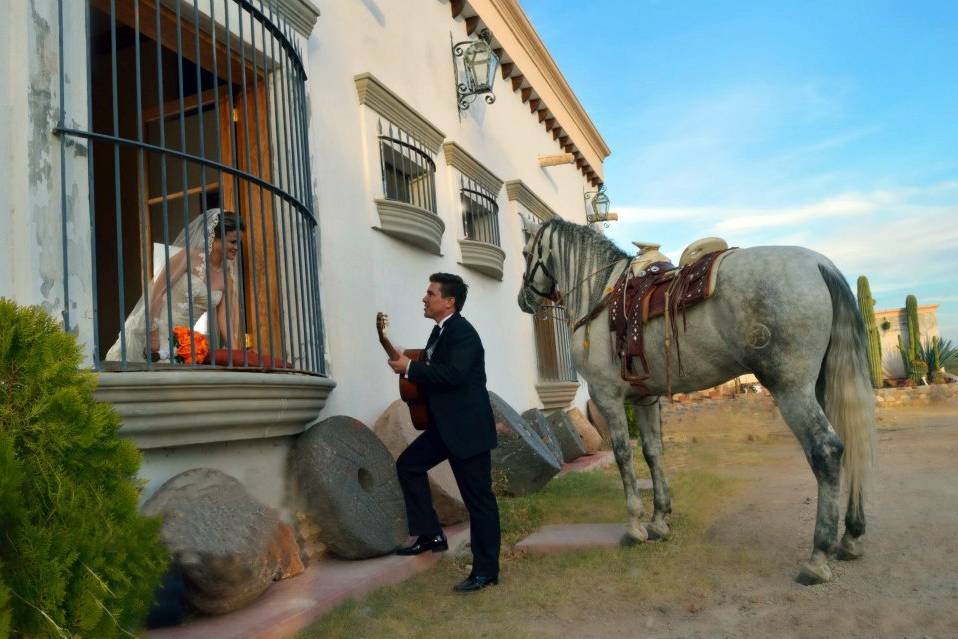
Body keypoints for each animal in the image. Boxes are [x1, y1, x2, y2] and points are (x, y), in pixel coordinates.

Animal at [516, 219, 876, 584]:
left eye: (526, 252)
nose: (523, 299)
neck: (601, 294)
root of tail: (820, 265)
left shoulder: (609, 397)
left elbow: (623, 458)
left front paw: (634, 527)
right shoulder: (646, 400)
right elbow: (653, 453)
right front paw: (659, 521)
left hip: (792, 388)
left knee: (827, 449)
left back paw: (818, 557)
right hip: (823, 384)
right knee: (851, 441)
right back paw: (851, 537)